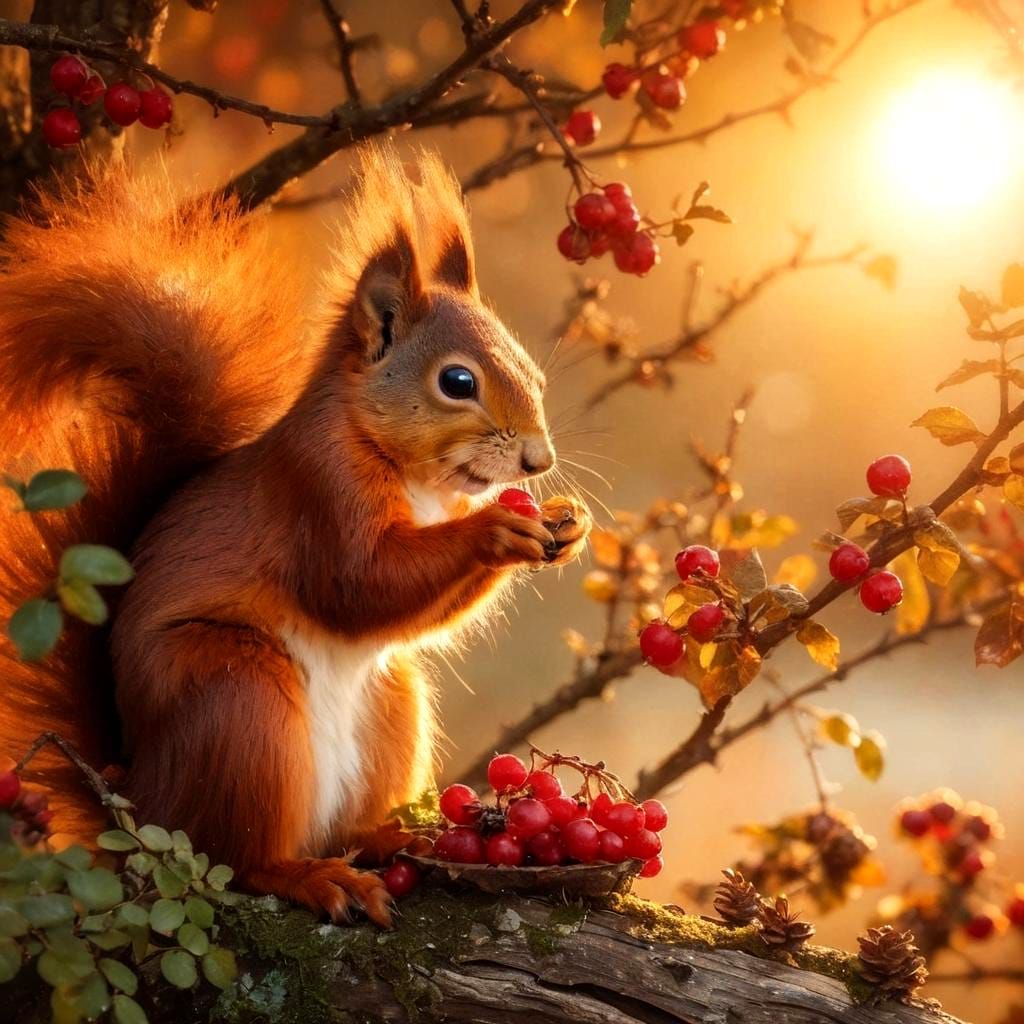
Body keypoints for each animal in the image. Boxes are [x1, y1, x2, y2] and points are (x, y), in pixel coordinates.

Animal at [0, 150, 591, 926]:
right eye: (458, 381)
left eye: (534, 372)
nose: (537, 462)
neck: (414, 476)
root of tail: (137, 802)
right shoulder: (317, 487)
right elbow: (358, 585)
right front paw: (498, 528)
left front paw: (569, 523)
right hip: (236, 697)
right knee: (237, 859)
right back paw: (308, 876)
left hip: (390, 702)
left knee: (339, 826)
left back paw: (390, 836)